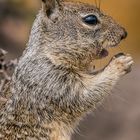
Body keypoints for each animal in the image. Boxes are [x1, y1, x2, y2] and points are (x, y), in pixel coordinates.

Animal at [0, 0, 134, 140]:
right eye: (91, 20)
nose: (124, 33)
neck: (49, 55)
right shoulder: (52, 82)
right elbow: (85, 95)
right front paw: (120, 63)